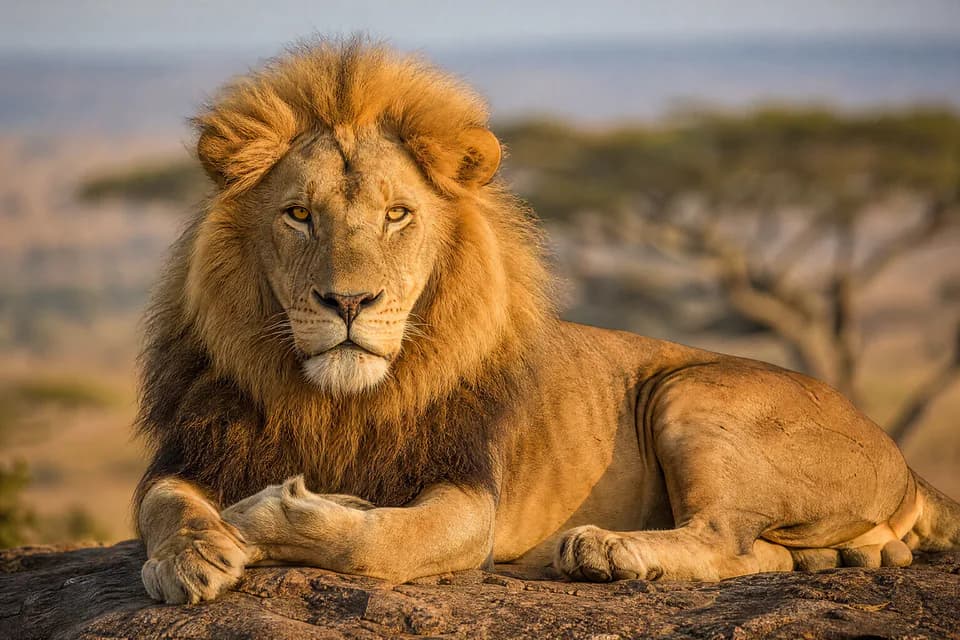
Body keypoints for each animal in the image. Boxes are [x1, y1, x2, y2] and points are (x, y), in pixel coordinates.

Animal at [135, 37, 960, 604]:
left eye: (398, 214)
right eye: (299, 215)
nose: (349, 303)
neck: (338, 400)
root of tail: (902, 456)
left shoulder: (470, 494)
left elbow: (382, 541)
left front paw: (268, 517)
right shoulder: (193, 451)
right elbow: (163, 505)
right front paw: (192, 555)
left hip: (691, 391)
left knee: (725, 537)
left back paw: (606, 551)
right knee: (767, 552)